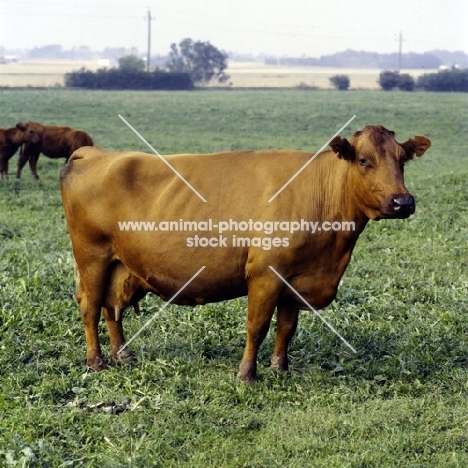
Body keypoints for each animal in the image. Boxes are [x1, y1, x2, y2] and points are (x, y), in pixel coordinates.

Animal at [59, 126, 432, 382]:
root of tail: (95, 153)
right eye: (364, 160)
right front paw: (248, 374)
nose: (403, 202)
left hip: (120, 265)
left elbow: (286, 327)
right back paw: (96, 361)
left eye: (402, 161)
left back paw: (123, 356)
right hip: (91, 256)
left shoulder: (295, 279)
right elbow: (257, 326)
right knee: (90, 306)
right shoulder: (265, 275)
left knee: (112, 309)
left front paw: (280, 368)